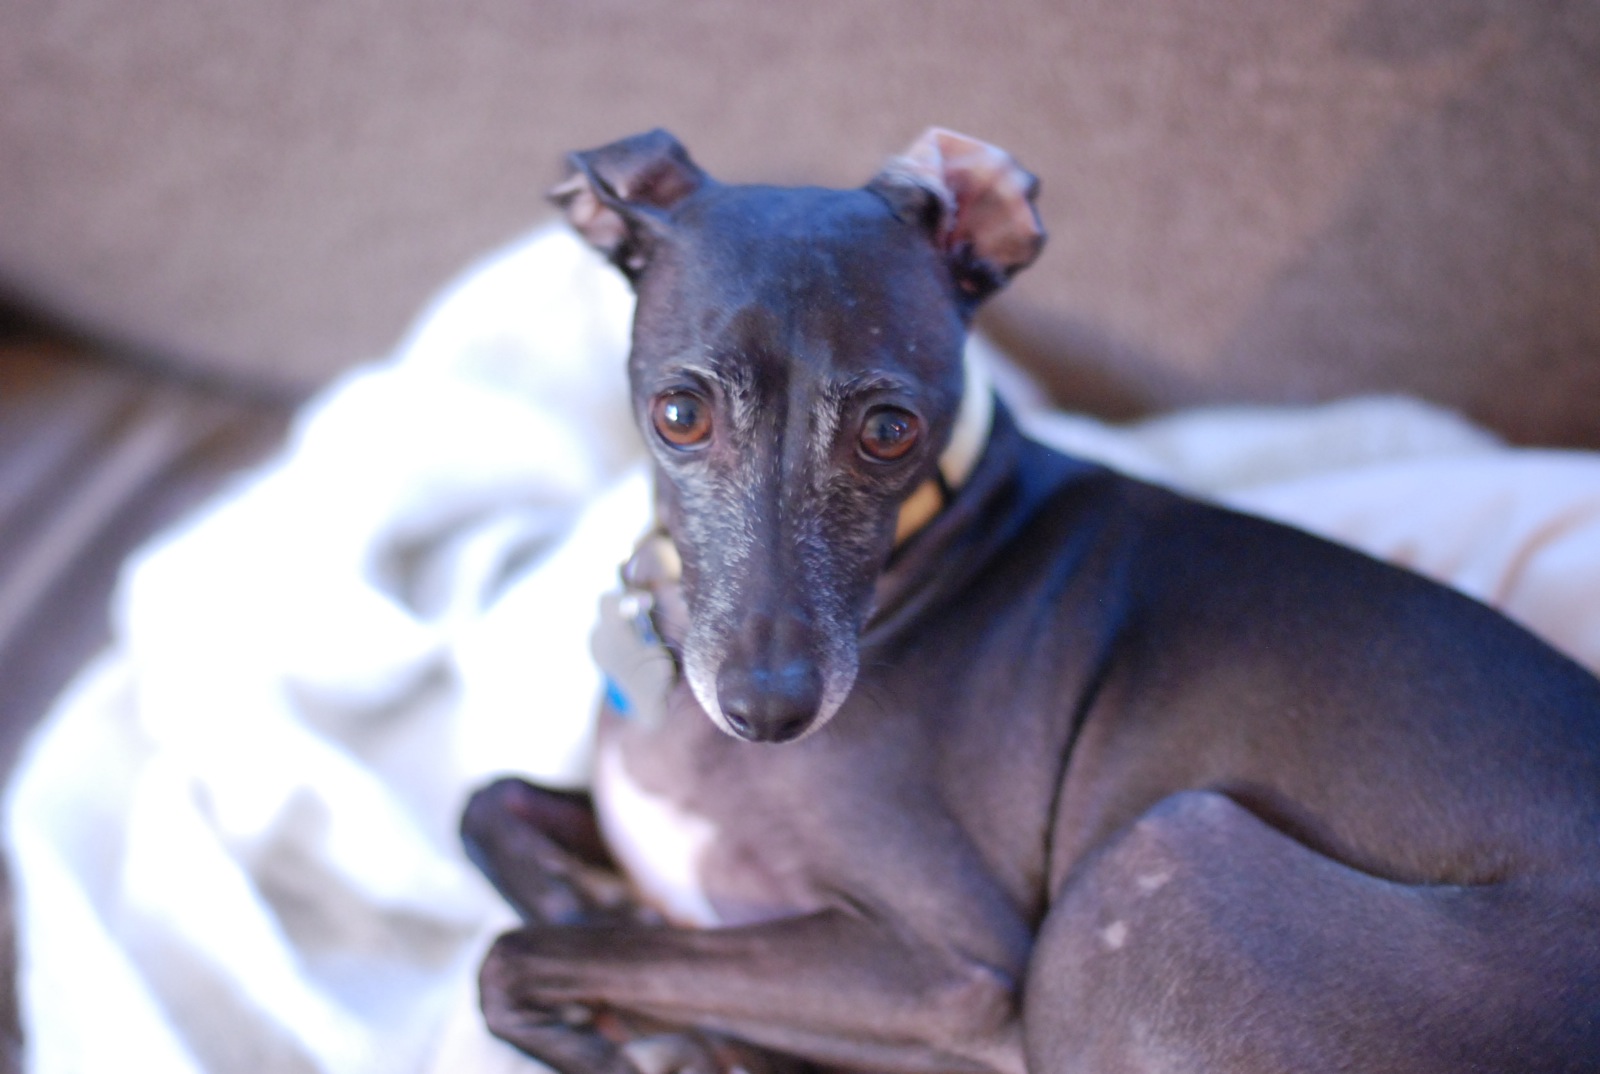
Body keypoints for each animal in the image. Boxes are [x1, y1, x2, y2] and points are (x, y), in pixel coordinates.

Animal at [460, 132, 1600, 1074]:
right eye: (679, 414)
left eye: (889, 429)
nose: (768, 712)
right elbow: (488, 804)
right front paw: (594, 910)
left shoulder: (953, 977)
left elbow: (512, 956)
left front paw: (648, 1028)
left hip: (1155, 867)